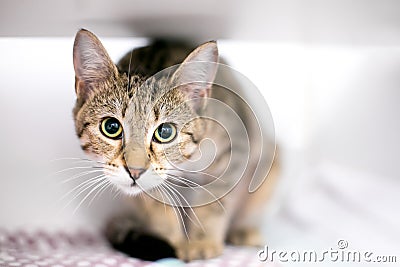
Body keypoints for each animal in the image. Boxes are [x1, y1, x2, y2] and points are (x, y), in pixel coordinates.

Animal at [72, 28, 278, 262]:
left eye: (165, 132)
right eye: (111, 127)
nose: (135, 171)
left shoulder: (235, 149)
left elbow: (213, 201)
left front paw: (202, 241)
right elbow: (158, 207)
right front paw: (175, 242)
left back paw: (242, 230)